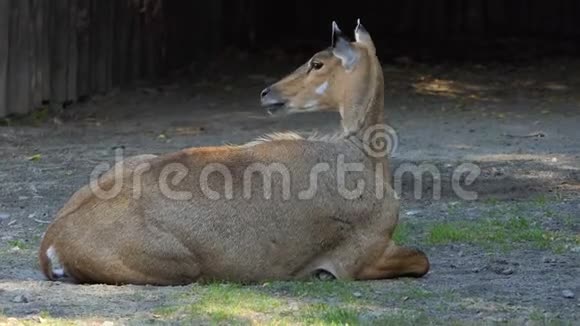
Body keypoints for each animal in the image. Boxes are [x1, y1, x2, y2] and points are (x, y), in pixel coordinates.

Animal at [38, 21, 428, 286]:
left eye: (317, 64)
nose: (267, 92)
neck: (363, 154)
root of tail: (53, 242)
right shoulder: (359, 259)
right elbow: (422, 260)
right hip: (184, 268)